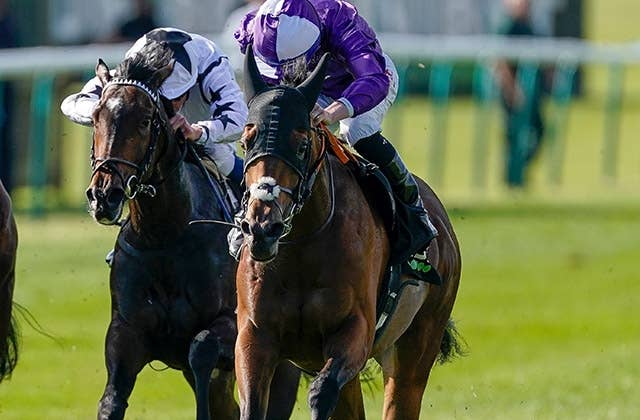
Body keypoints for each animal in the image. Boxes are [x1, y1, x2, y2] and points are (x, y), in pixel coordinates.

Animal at [85, 49, 299, 420]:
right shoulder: (126, 331)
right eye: (97, 116)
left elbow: (200, 350)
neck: (165, 237)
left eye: (145, 120)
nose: (104, 195)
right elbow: (111, 400)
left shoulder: (234, 327)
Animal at [234, 46, 462, 420]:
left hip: (415, 346)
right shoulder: (255, 334)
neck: (301, 249)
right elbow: (252, 404)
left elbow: (321, 392)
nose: (263, 227)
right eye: (246, 141)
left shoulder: (356, 329)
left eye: (302, 143)